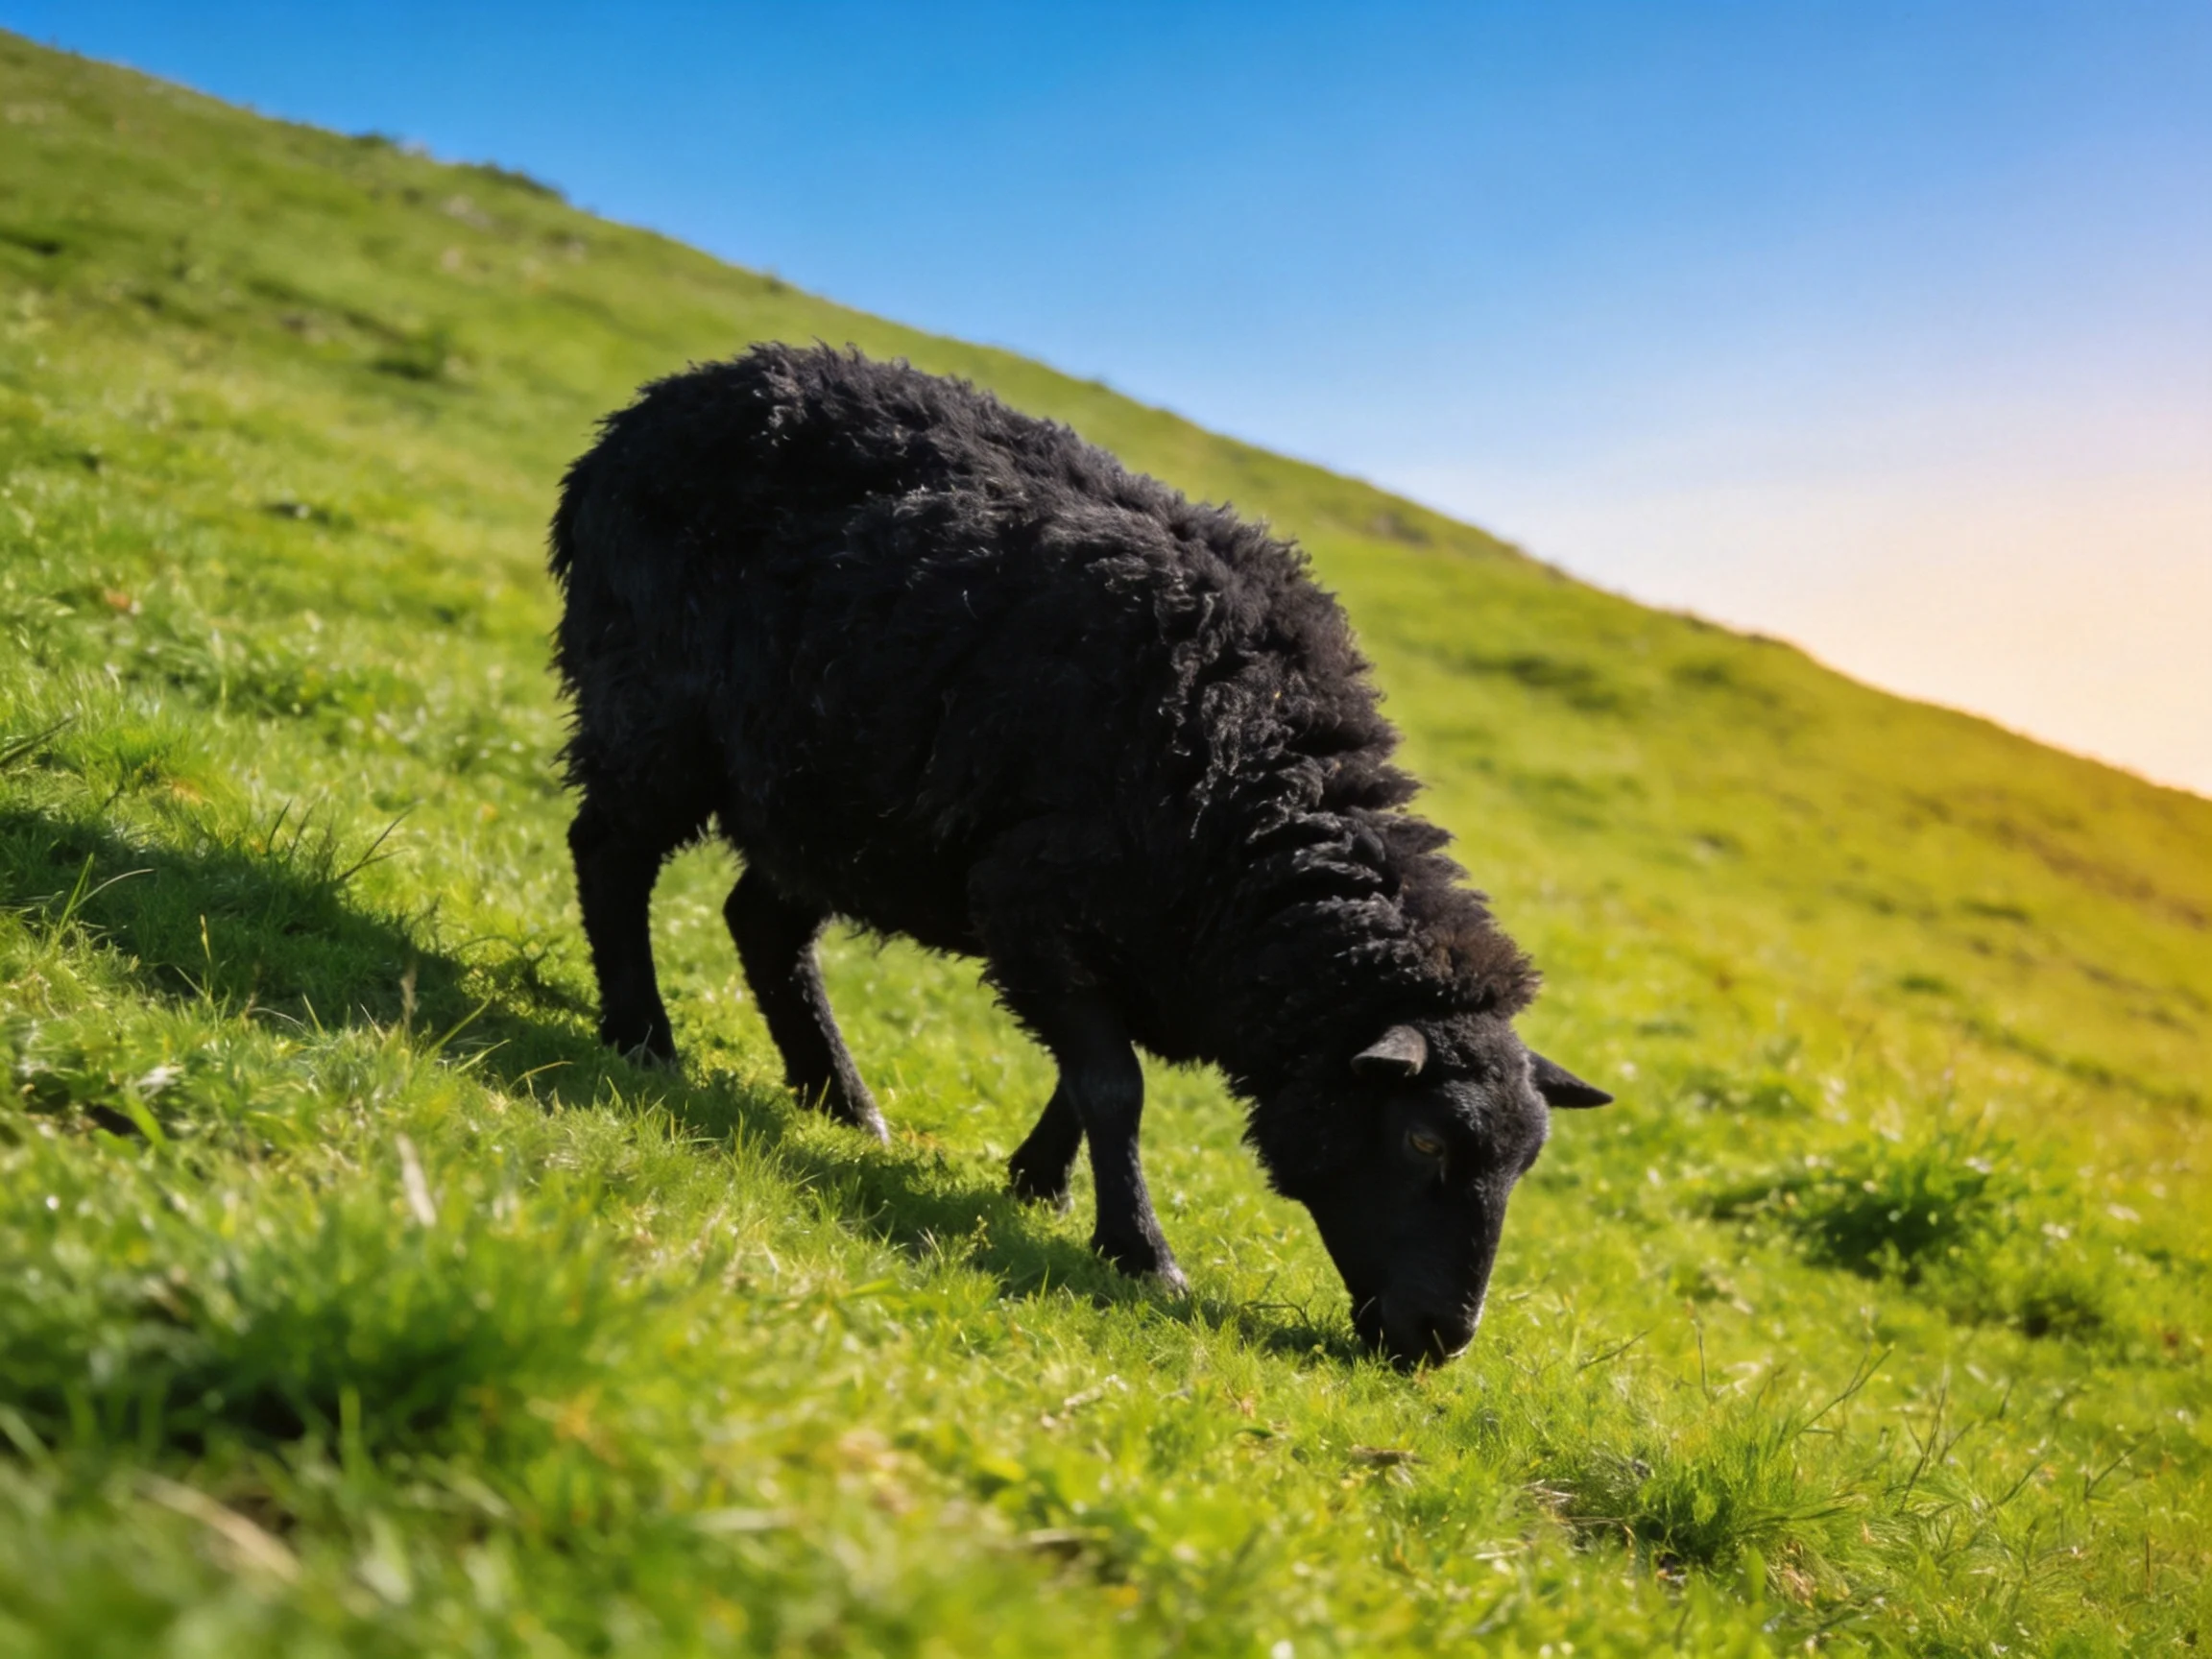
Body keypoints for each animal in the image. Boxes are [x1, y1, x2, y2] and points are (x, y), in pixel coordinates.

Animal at [549, 342, 1610, 1366]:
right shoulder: (1032, 903)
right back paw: (643, 1036)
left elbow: (1085, 1079)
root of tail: (656, 405)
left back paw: (841, 1102)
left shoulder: (1133, 942)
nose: (1443, 1340)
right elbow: (1115, 1086)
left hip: (829, 798)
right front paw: (1140, 1251)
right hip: (657, 705)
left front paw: (1040, 1183)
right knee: (609, 853)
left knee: (763, 922)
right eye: (1425, 1141)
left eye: (1526, 1162)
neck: (1254, 801)